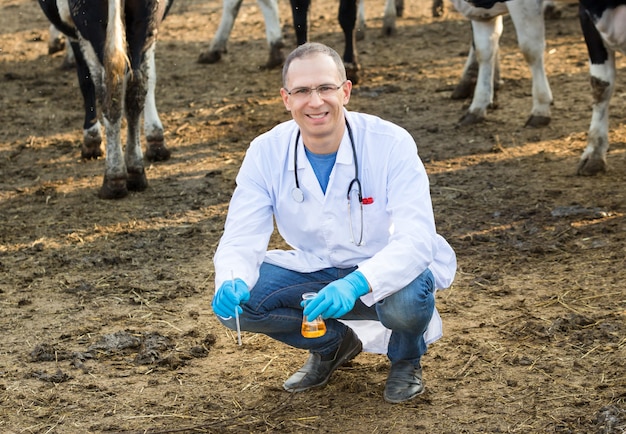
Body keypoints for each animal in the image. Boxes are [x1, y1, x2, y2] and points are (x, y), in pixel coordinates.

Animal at [37, 0, 172, 200]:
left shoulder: (76, 33)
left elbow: (85, 80)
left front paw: (91, 138)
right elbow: (150, 75)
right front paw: (156, 140)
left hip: (91, 24)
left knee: (109, 89)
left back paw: (113, 178)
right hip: (145, 19)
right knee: (136, 85)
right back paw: (135, 170)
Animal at [448, 0, 552, 128]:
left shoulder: (524, 4)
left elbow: (530, 49)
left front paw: (541, 109)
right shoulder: (483, 14)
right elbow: (483, 51)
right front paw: (478, 106)